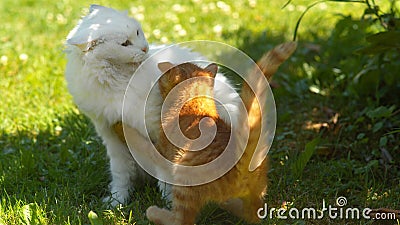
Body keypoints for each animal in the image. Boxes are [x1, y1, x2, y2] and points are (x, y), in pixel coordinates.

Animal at [65, 4, 239, 207]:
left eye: (138, 32)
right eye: (125, 44)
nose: (145, 48)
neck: (116, 80)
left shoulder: (156, 129)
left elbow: (164, 172)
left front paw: (168, 203)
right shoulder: (109, 133)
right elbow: (121, 173)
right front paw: (116, 201)